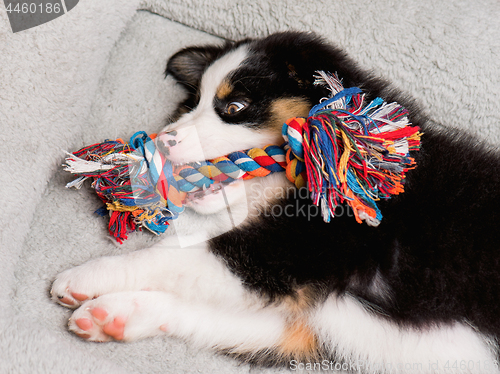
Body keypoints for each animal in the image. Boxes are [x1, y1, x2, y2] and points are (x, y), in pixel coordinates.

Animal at [52, 32, 500, 374]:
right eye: (191, 103)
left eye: (234, 106)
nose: (162, 141)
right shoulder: (319, 318)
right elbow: (213, 314)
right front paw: (113, 316)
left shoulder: (296, 248)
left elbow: (170, 259)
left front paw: (85, 278)